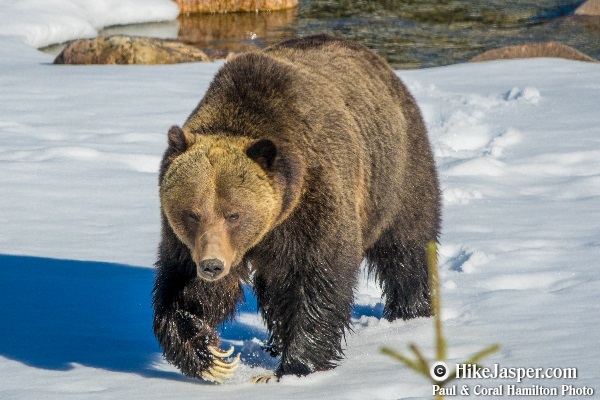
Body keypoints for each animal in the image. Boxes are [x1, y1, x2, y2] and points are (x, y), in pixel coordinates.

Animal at [151, 36, 440, 382]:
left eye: (234, 214)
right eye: (192, 213)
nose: (212, 266)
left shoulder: (312, 199)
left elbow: (315, 277)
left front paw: (297, 366)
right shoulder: (187, 240)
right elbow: (185, 290)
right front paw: (211, 358)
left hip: (394, 170)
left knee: (406, 244)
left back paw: (410, 311)